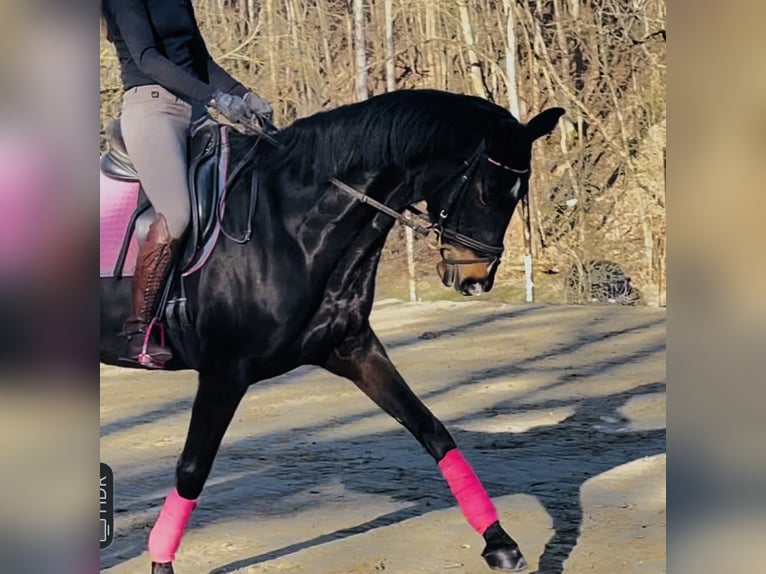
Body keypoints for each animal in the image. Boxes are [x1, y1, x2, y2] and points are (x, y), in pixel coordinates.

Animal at [100, 88, 564, 572]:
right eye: (486, 193)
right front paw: (162, 563)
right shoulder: (224, 372)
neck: (287, 226)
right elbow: (193, 469)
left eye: (518, 194)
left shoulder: (352, 349)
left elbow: (432, 430)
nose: (476, 280)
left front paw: (500, 542)